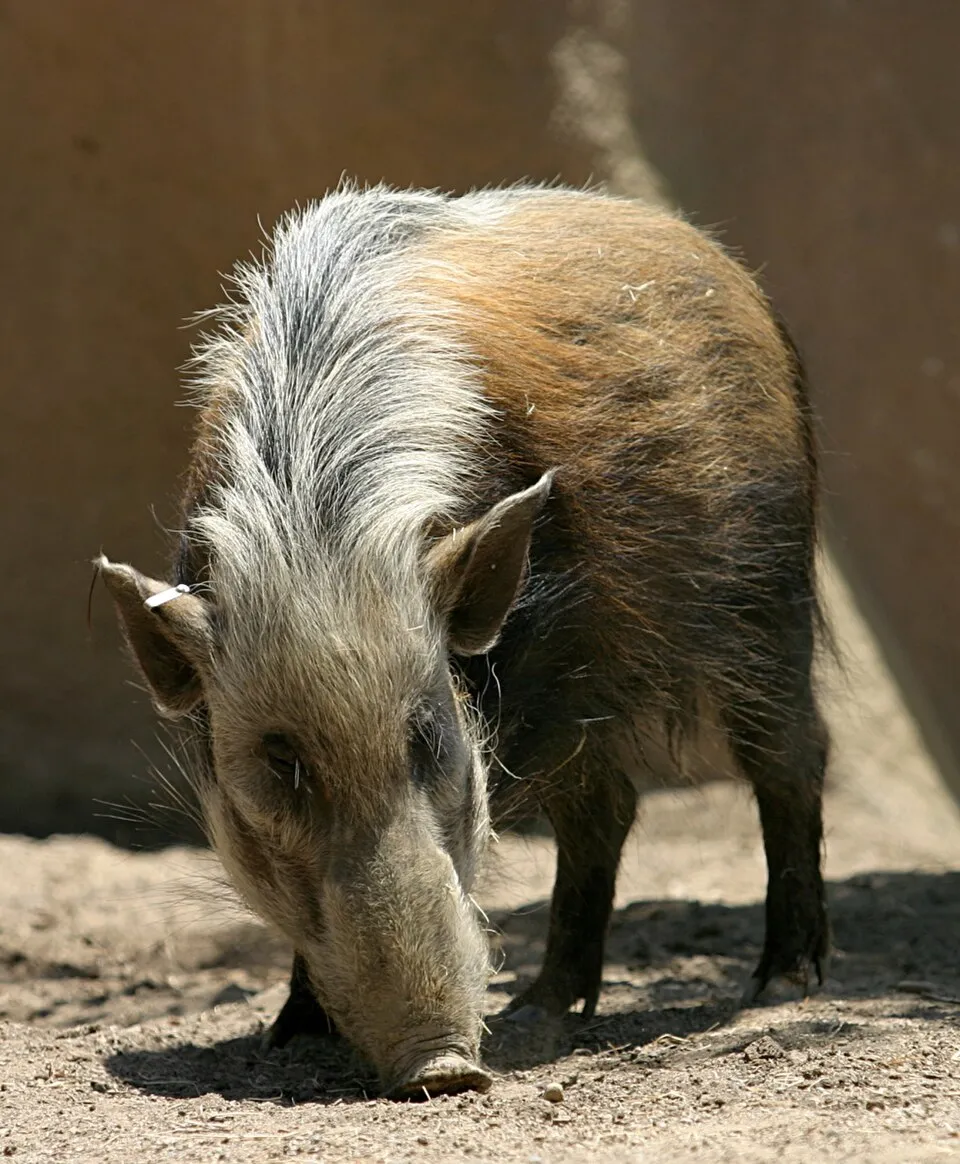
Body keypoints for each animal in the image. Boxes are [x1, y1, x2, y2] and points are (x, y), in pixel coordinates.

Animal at [99, 184, 829, 1097]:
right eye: (279, 759)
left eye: (428, 736)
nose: (444, 1071)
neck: (317, 541)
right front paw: (291, 1037)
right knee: (610, 807)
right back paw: (540, 1010)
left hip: (764, 591)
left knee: (789, 758)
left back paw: (780, 986)